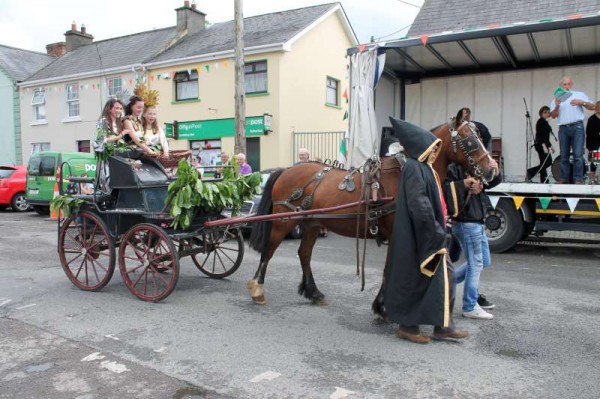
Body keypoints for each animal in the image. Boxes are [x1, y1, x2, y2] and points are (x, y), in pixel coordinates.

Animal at [247, 122, 496, 306]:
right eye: (470, 141)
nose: (492, 169)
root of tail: (286, 170)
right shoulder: (396, 232)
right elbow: (388, 269)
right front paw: (381, 306)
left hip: (312, 224)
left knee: (304, 254)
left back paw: (313, 292)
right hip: (283, 221)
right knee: (268, 252)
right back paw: (257, 289)